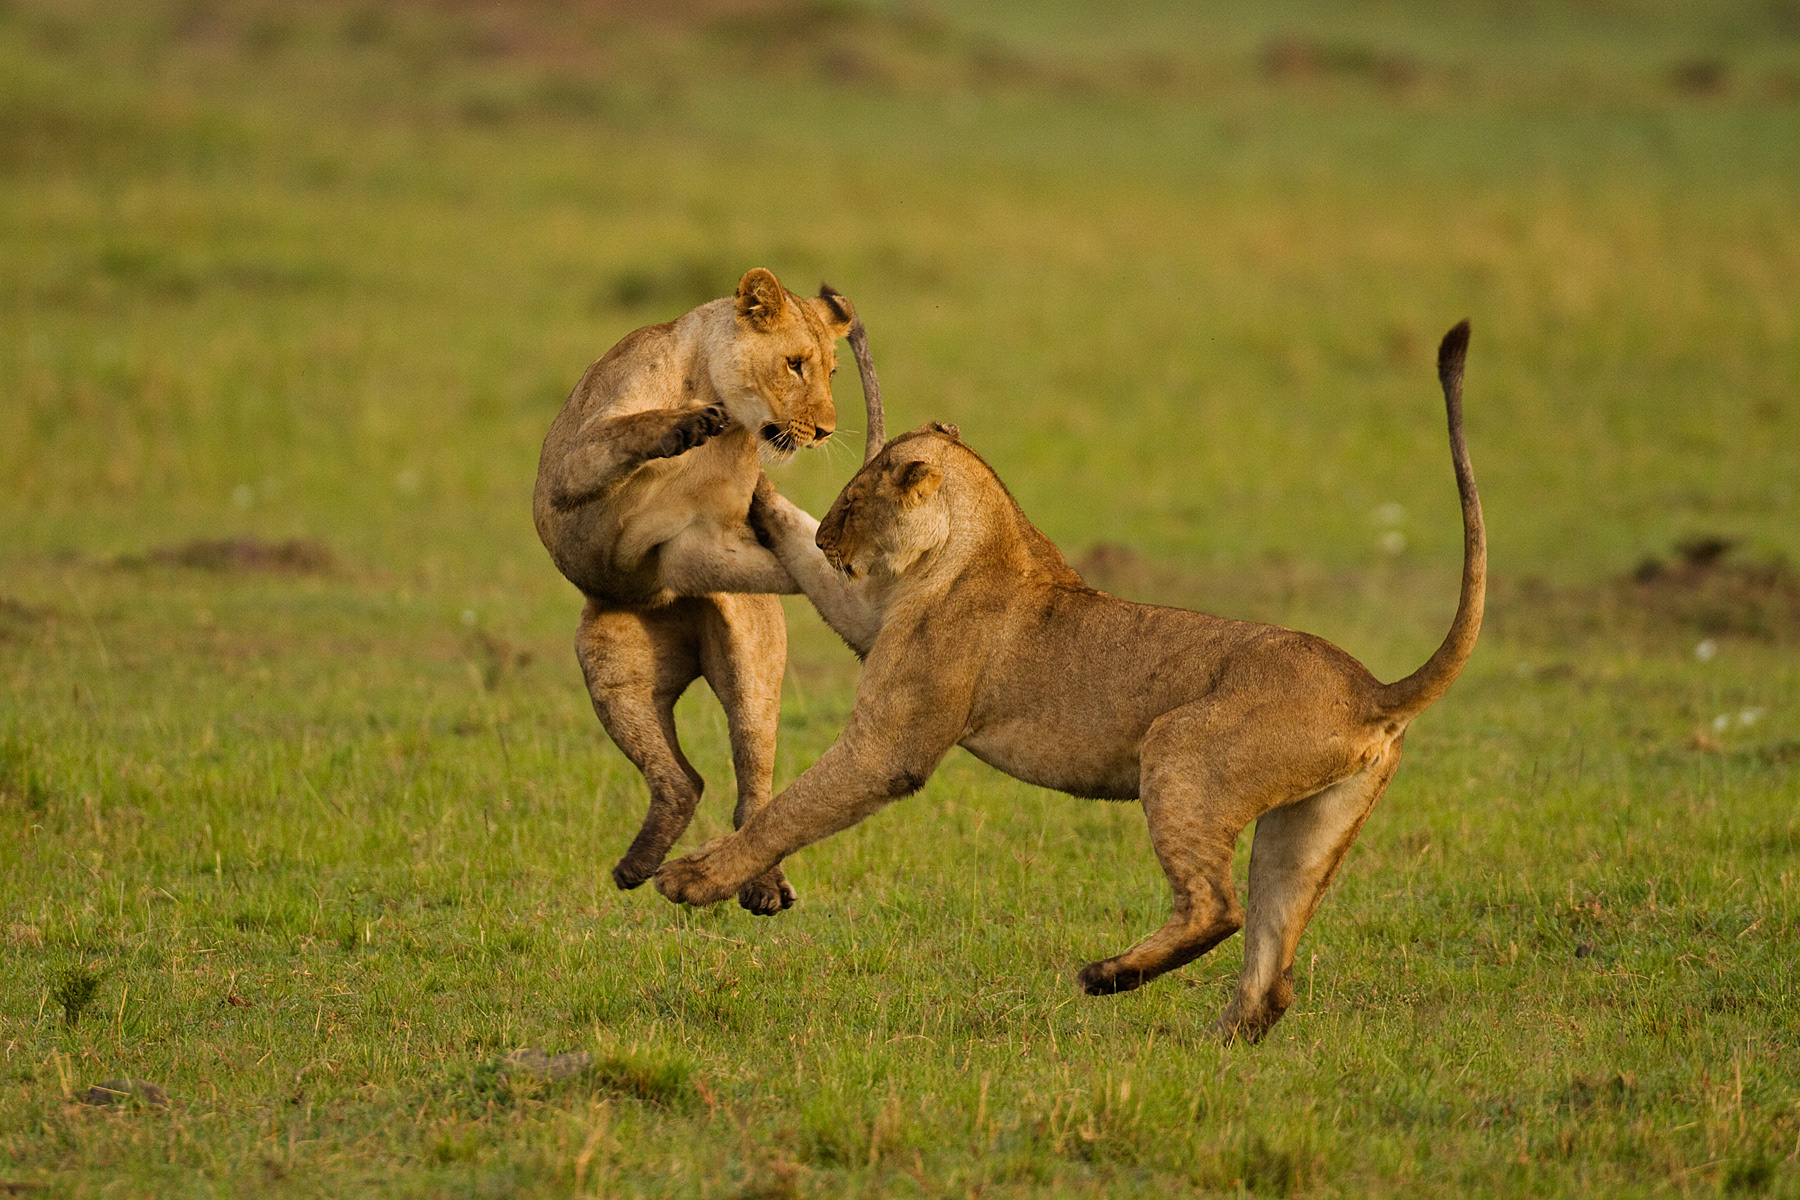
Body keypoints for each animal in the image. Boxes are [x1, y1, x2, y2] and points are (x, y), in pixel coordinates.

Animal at [533, 267, 873, 914]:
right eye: (795, 364)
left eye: (832, 371)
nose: (824, 432)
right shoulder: (570, 468)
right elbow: (623, 433)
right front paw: (685, 424)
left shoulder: (696, 546)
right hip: (608, 663)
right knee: (681, 782)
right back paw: (638, 866)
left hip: (752, 672)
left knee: (750, 791)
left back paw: (761, 888)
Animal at [656, 322, 1485, 1041]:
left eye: (855, 500)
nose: (832, 538)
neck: (979, 539)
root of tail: (1372, 691)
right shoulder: (871, 618)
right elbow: (803, 562)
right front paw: (759, 489)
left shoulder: (890, 744)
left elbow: (790, 813)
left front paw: (693, 879)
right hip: (1306, 823)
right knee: (1273, 961)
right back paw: (1220, 1042)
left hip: (1182, 750)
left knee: (1217, 908)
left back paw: (1107, 978)